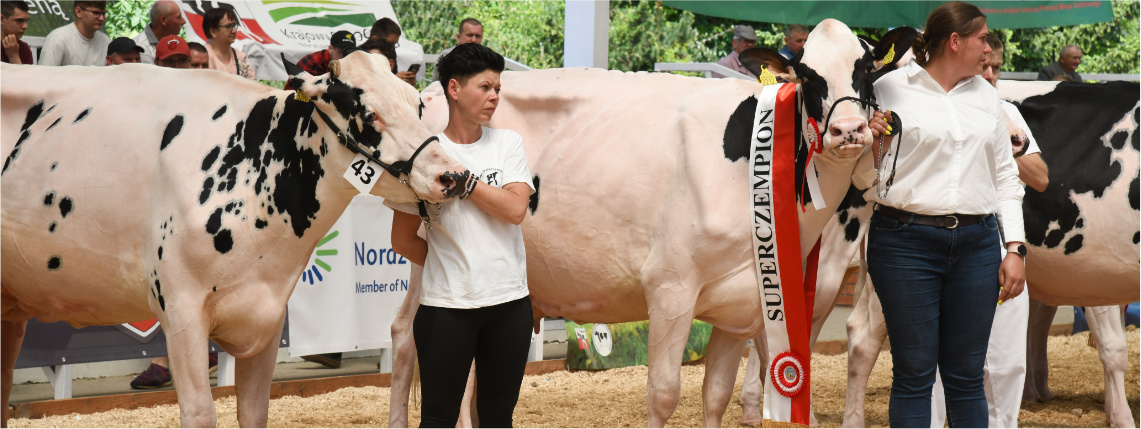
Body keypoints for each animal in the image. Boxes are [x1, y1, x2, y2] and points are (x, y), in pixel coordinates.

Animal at [0, 51, 470, 426]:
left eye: (418, 105)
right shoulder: (180, 311)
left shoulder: (268, 313)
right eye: (368, 113)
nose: (454, 175)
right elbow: (200, 413)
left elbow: (255, 411)